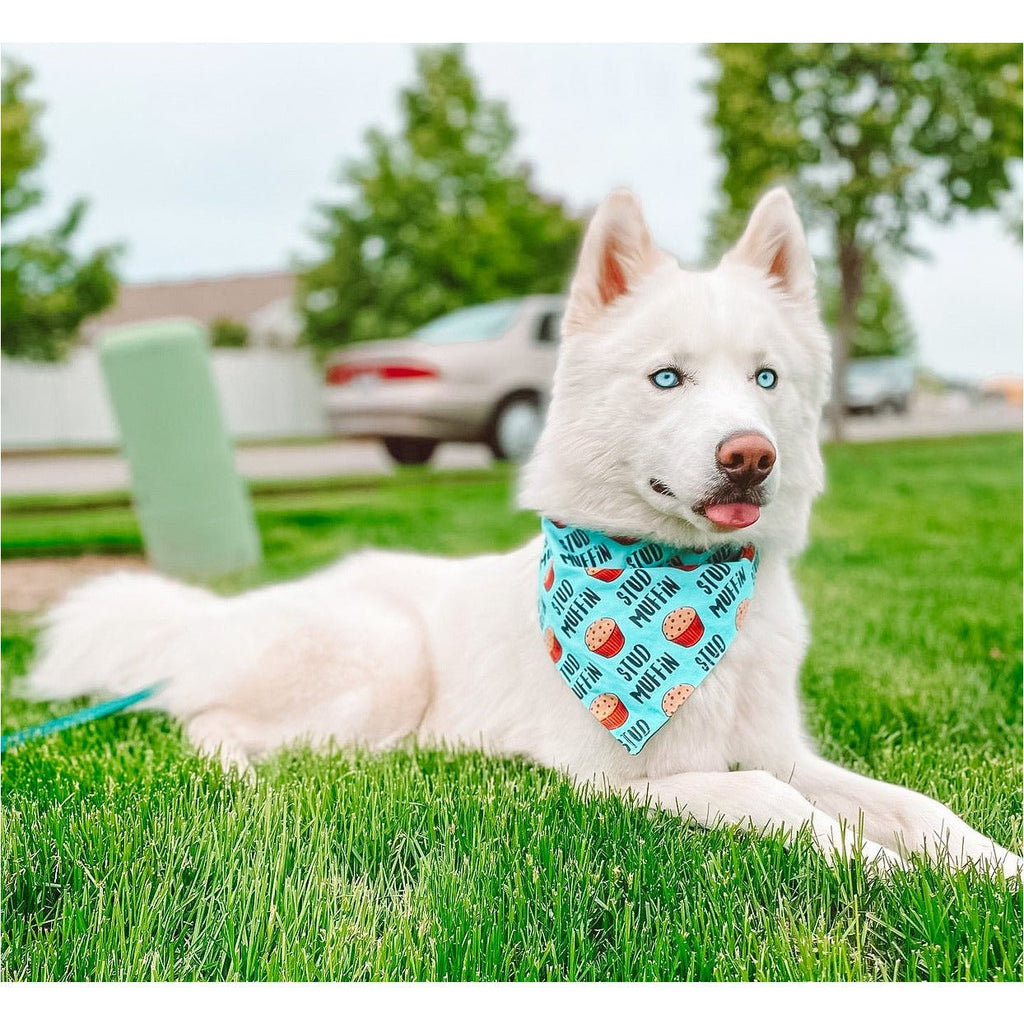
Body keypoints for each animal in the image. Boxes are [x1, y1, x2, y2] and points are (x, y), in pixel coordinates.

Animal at [28, 192, 1019, 880]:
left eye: (766, 378)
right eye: (668, 378)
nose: (751, 457)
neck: (692, 592)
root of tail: (211, 617)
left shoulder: (788, 749)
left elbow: (913, 805)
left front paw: (986, 867)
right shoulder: (625, 781)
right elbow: (769, 797)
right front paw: (880, 865)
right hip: (379, 667)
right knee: (203, 720)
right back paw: (244, 776)